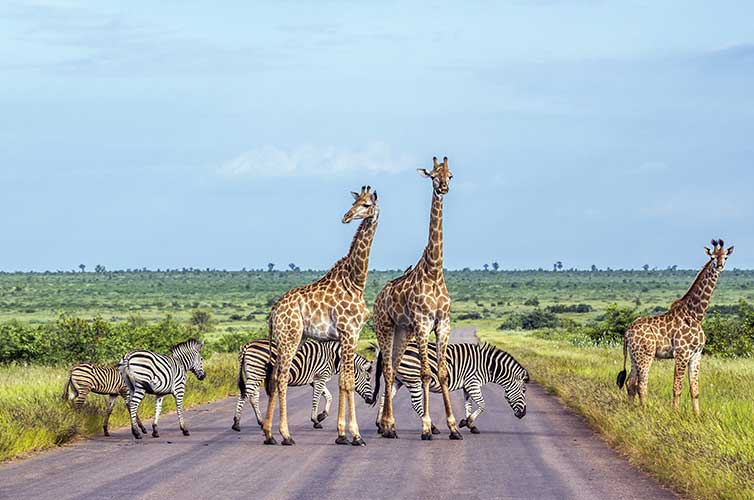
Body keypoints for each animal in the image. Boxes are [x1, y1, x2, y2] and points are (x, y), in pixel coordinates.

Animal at [228, 338, 372, 432]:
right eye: (368, 379)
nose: (371, 401)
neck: (334, 358)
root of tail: (247, 345)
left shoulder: (315, 379)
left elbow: (329, 396)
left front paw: (321, 416)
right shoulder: (320, 376)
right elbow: (316, 398)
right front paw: (315, 420)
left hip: (254, 374)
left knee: (253, 398)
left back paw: (261, 422)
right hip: (256, 373)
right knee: (244, 395)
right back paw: (236, 423)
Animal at [262, 184, 378, 446]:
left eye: (366, 204)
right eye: (356, 203)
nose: (346, 217)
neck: (356, 281)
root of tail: (273, 312)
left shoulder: (347, 337)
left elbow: (343, 382)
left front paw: (341, 434)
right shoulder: (349, 333)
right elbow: (347, 382)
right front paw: (355, 435)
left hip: (292, 338)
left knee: (273, 377)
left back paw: (269, 434)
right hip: (290, 337)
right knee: (281, 378)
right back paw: (286, 435)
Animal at [372, 157, 464, 442]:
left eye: (450, 175)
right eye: (433, 175)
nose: (443, 187)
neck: (434, 271)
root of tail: (378, 298)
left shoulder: (443, 324)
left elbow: (442, 373)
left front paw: (454, 427)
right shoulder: (423, 324)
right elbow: (425, 373)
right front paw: (426, 427)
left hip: (403, 332)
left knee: (392, 368)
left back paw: (387, 426)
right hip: (385, 327)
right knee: (388, 370)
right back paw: (389, 425)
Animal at [372, 344, 524, 434]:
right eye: (524, 391)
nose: (523, 414)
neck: (486, 366)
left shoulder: (467, 385)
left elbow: (468, 405)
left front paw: (469, 424)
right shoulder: (473, 383)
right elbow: (482, 405)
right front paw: (468, 422)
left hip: (398, 380)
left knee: (385, 398)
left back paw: (380, 425)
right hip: (413, 379)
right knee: (416, 404)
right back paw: (432, 427)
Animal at [612, 238, 732, 414]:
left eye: (725, 257)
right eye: (712, 257)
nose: (720, 265)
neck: (696, 314)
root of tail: (627, 331)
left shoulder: (696, 354)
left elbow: (694, 389)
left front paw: (697, 416)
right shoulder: (682, 353)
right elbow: (677, 387)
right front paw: (675, 414)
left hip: (635, 356)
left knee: (630, 382)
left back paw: (632, 409)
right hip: (645, 355)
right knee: (642, 384)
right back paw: (644, 410)